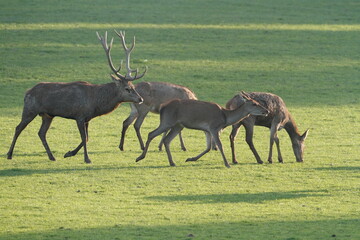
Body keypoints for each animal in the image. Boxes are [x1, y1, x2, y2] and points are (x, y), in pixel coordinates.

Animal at [6, 30, 146, 163]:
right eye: (127, 89)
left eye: (133, 87)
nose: (140, 99)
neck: (95, 102)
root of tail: (27, 92)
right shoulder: (80, 116)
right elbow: (84, 137)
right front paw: (86, 159)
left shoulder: (87, 118)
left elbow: (87, 137)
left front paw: (68, 153)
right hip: (30, 109)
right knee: (18, 128)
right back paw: (9, 154)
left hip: (47, 115)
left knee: (41, 133)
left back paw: (52, 156)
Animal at [135, 93, 268, 168]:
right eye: (254, 103)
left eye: (258, 102)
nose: (266, 111)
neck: (225, 118)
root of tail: (162, 107)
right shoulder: (214, 127)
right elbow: (220, 145)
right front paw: (227, 164)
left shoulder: (208, 130)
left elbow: (208, 147)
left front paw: (190, 159)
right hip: (167, 120)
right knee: (151, 134)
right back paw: (140, 157)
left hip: (178, 125)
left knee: (166, 140)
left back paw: (172, 162)